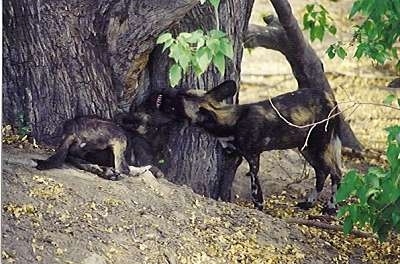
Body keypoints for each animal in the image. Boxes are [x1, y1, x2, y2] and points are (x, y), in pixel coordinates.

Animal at [34, 112, 166, 180]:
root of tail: (72, 131)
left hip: (76, 154)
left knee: (80, 162)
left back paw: (104, 171)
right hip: (118, 134)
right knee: (123, 168)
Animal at [158, 80, 342, 214]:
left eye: (178, 102)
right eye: (181, 91)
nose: (163, 91)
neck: (231, 122)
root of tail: (330, 98)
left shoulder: (253, 158)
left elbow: (255, 187)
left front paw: (259, 207)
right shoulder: (232, 156)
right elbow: (225, 183)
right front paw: (224, 200)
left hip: (319, 146)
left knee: (336, 173)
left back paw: (331, 207)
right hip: (306, 149)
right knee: (322, 172)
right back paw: (309, 203)